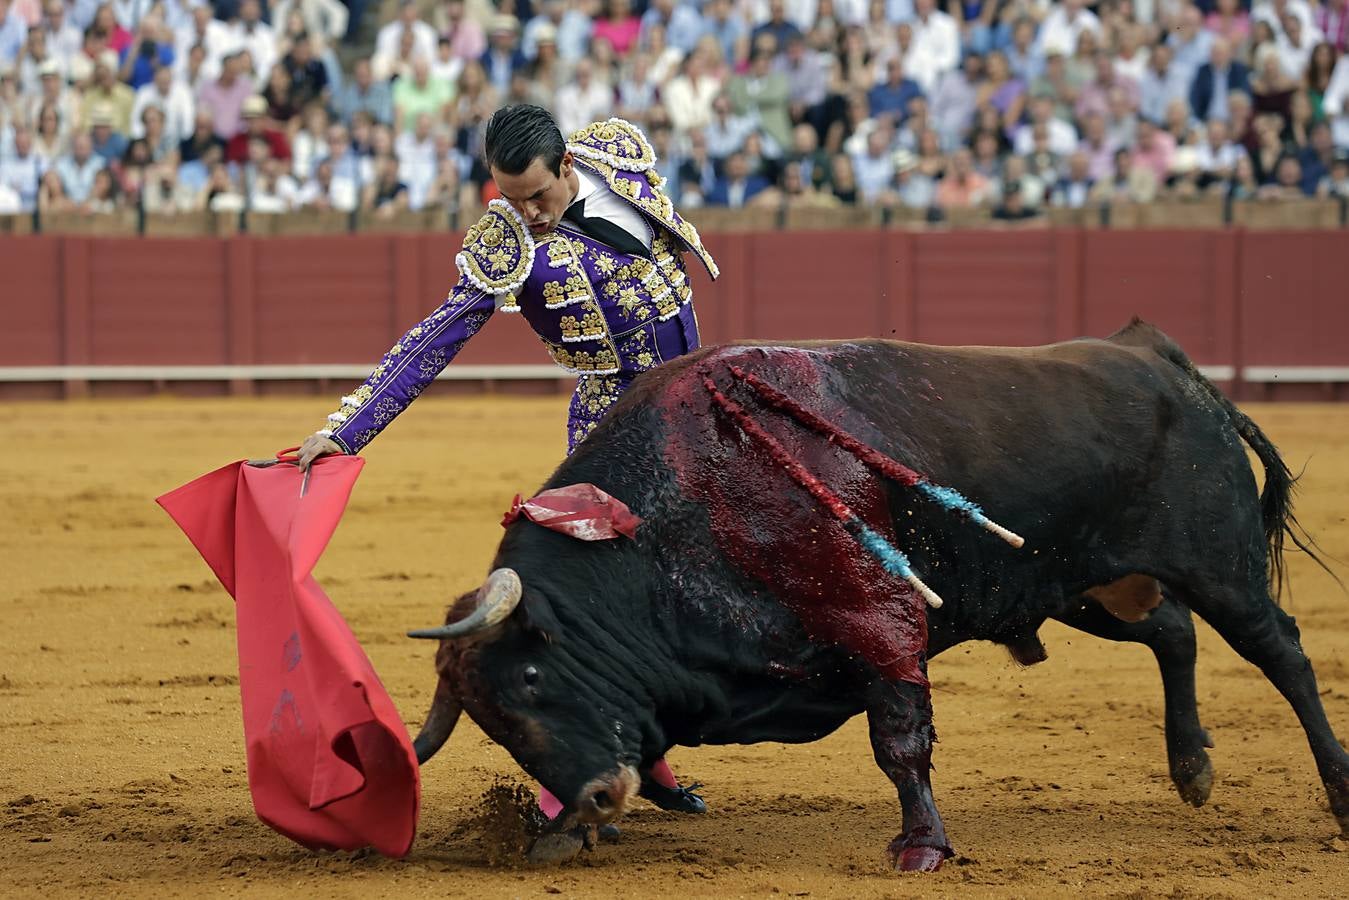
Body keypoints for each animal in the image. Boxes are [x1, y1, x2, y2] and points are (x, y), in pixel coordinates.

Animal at [410, 319, 1349, 868]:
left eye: (532, 678)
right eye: (492, 723)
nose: (599, 797)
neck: (679, 509)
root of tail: (1160, 357)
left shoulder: (881, 621)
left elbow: (898, 741)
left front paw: (922, 848)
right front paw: (556, 835)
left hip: (1220, 567)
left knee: (1284, 655)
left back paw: (1337, 794)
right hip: (1074, 585)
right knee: (1171, 632)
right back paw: (1191, 768)